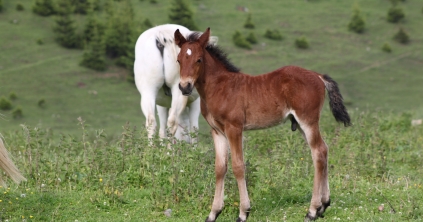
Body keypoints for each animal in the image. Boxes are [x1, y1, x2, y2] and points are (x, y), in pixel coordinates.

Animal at [174, 28, 352, 221]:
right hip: (301, 123)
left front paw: (243, 213)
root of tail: (318, 76)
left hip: (308, 120)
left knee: (318, 152)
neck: (219, 88)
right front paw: (213, 213)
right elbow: (220, 168)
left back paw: (312, 211)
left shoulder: (234, 128)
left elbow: (238, 166)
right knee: (323, 150)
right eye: (179, 60)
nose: (185, 87)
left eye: (199, 59)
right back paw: (323, 205)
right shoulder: (217, 131)